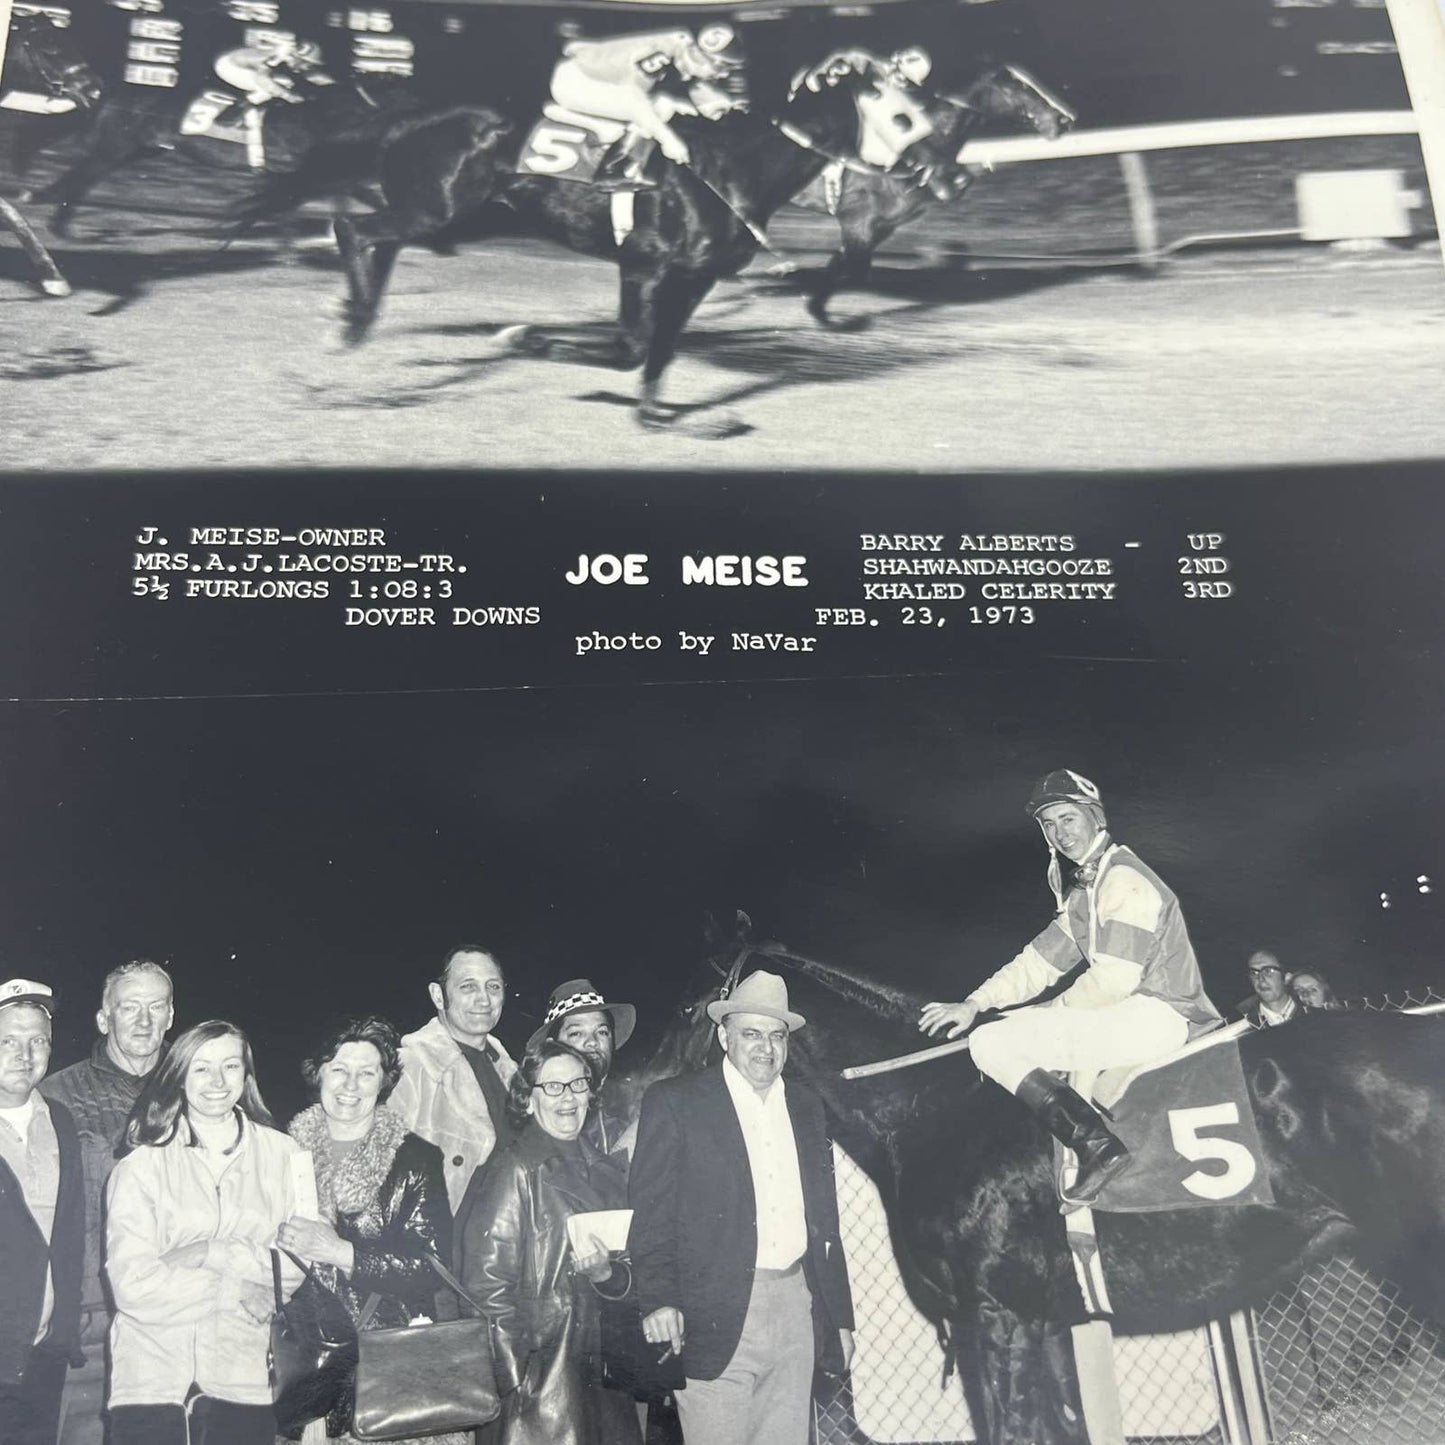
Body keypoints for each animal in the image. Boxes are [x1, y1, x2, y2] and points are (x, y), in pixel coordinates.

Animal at [333, 56, 947, 427]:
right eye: (904, 116)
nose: (941, 172)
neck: (735, 169)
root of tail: (405, 119)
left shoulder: (695, 277)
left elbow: (658, 349)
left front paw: (653, 414)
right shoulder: (644, 265)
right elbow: (630, 348)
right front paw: (526, 338)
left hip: (448, 214)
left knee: (382, 241)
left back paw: (359, 317)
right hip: (438, 209)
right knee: (354, 228)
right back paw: (353, 322)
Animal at [791, 64, 1075, 322]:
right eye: (1021, 86)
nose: (1063, 119)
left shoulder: (881, 226)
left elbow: (842, 266)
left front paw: (814, 304)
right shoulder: (857, 221)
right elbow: (854, 272)